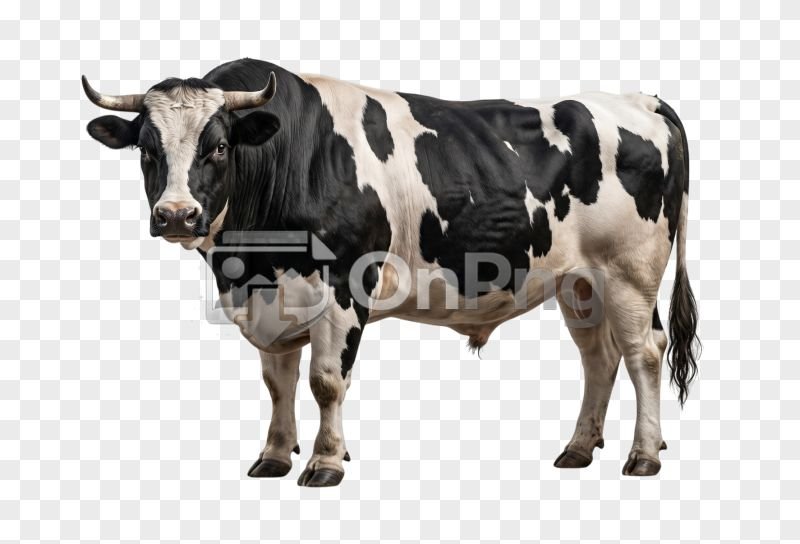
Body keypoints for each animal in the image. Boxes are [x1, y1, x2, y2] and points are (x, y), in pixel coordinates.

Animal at [83, 58, 699, 486]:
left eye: (217, 146)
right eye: (146, 149)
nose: (176, 215)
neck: (249, 259)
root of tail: (640, 99)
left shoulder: (342, 287)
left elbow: (325, 381)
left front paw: (326, 462)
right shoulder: (271, 296)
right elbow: (278, 382)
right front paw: (275, 456)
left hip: (629, 272)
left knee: (644, 353)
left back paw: (644, 454)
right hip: (580, 282)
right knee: (599, 357)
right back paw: (578, 448)